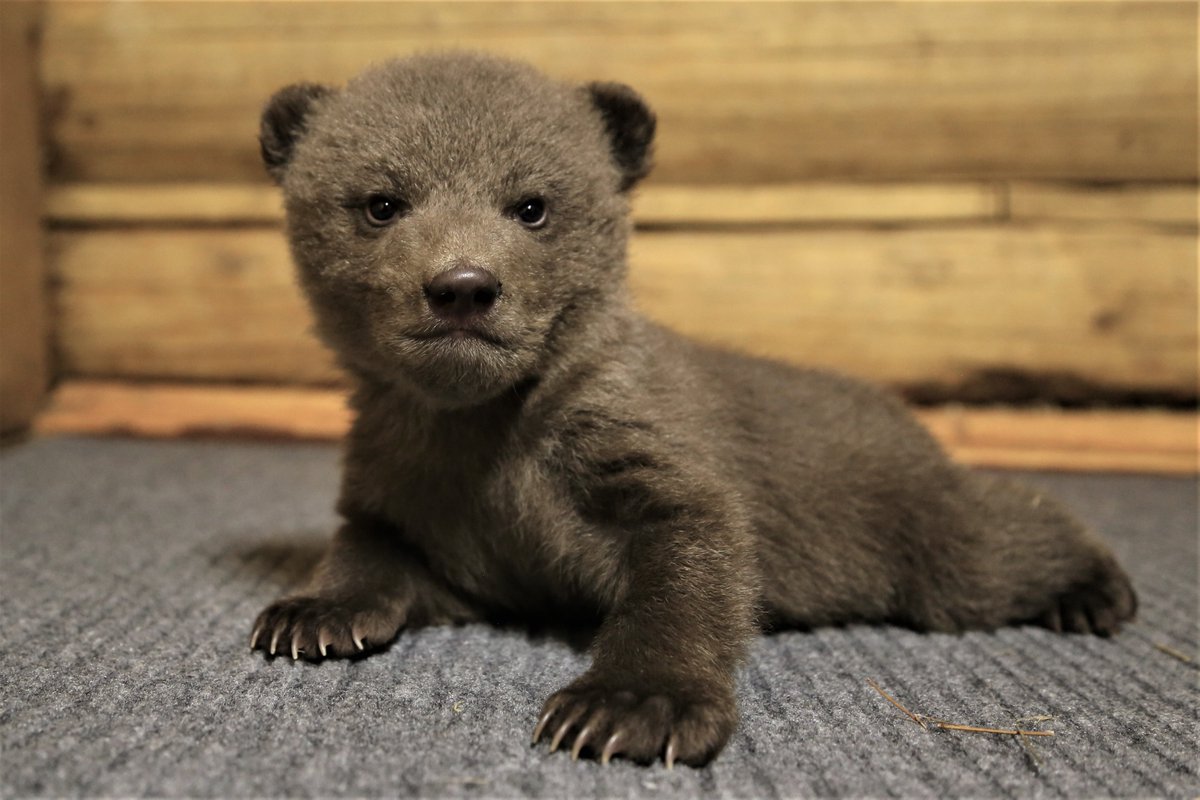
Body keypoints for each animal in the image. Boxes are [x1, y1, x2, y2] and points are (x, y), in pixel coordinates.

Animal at [249, 51, 1136, 768]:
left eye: (532, 205)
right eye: (380, 202)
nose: (463, 286)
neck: (483, 423)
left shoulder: (640, 448)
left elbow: (687, 562)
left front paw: (632, 706)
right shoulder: (413, 482)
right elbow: (372, 544)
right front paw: (310, 613)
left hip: (919, 536)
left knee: (997, 542)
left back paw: (1097, 591)